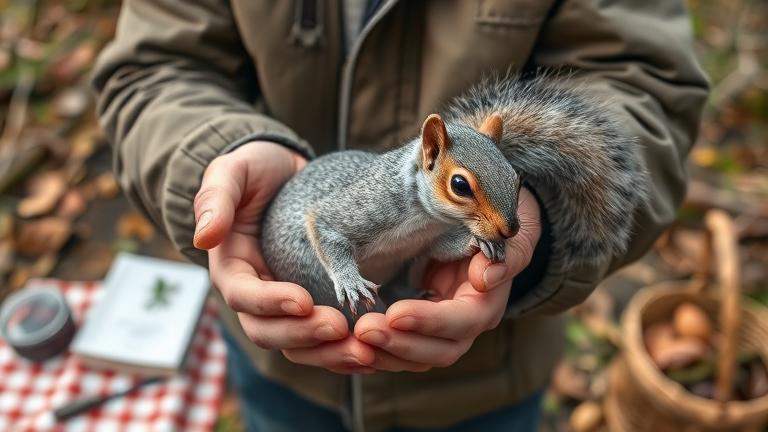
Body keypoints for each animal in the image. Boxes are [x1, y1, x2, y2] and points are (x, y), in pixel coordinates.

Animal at [260, 75, 648, 323]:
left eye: (517, 178)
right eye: (460, 185)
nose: (509, 230)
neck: (425, 218)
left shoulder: (424, 241)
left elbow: (438, 250)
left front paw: (477, 243)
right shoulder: (367, 204)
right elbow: (324, 223)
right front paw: (351, 281)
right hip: (305, 269)